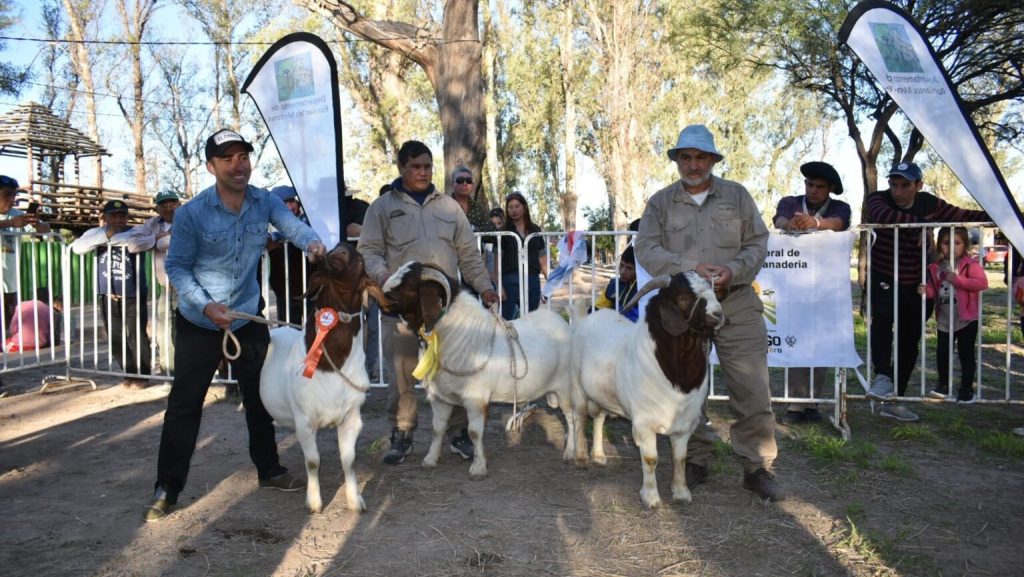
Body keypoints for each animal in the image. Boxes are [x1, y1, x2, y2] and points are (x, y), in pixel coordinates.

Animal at [260, 241, 387, 512]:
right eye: (333, 249)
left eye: (359, 259)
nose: (340, 249)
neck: (332, 364)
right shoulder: (304, 421)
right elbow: (313, 462)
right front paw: (315, 503)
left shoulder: (352, 418)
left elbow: (349, 460)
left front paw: (355, 501)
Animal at [385, 262, 577, 479]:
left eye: (409, 284)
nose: (382, 290)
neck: (460, 336)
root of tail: (562, 323)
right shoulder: (439, 398)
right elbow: (437, 429)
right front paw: (430, 459)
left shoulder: (475, 399)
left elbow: (474, 433)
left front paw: (478, 468)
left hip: (565, 388)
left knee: (571, 417)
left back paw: (570, 452)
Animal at [569, 272, 729, 508]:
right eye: (683, 297)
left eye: (714, 291)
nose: (718, 315)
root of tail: (584, 319)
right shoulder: (644, 423)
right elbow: (651, 459)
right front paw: (651, 498)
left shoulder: (684, 424)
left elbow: (680, 458)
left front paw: (681, 493)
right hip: (577, 387)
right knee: (579, 418)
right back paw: (580, 457)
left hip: (602, 394)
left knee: (598, 418)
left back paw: (598, 456)